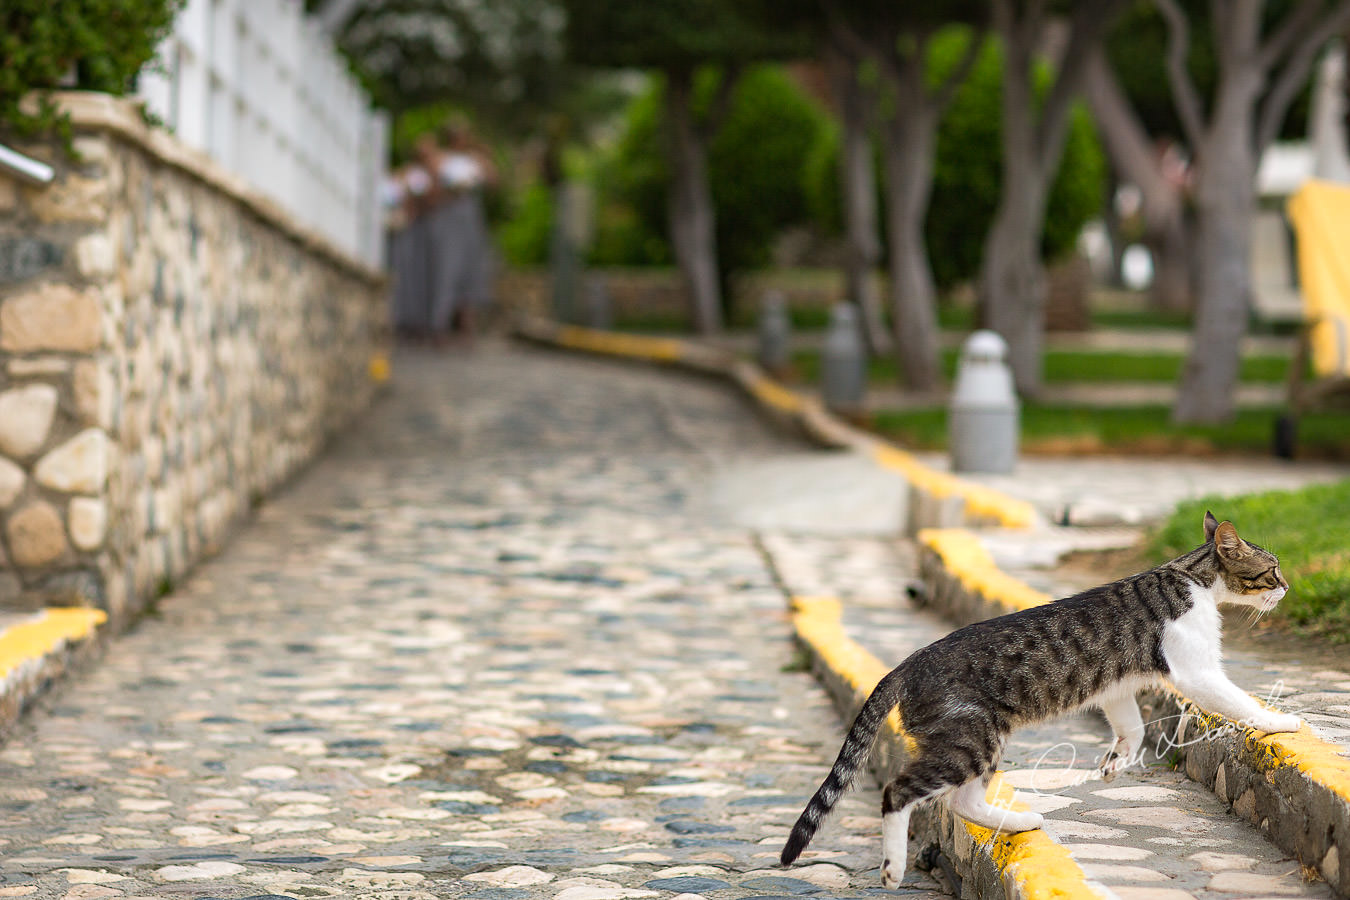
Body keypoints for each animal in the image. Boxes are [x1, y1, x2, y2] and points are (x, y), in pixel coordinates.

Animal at [783, 510, 1296, 890]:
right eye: (1271, 570)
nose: (1288, 587)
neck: (1191, 578)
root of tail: (904, 664)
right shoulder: (1197, 672)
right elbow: (1239, 702)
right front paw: (1281, 722)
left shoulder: (1118, 687)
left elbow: (1132, 727)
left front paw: (1117, 761)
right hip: (970, 740)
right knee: (900, 792)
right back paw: (893, 867)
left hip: (978, 743)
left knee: (961, 802)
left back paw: (1015, 824)